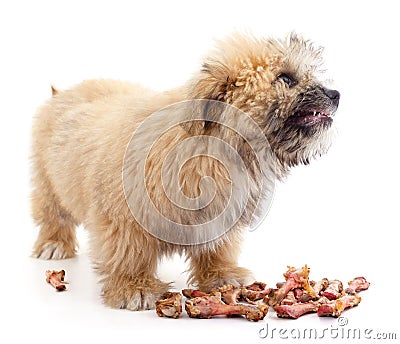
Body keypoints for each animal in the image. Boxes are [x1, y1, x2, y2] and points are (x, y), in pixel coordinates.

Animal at [30, 33, 340, 310]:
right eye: (286, 78)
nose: (335, 94)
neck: (216, 146)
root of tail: (63, 94)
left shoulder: (220, 214)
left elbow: (218, 247)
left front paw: (222, 274)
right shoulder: (124, 218)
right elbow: (129, 254)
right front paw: (134, 286)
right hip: (46, 182)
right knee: (53, 214)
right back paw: (54, 242)